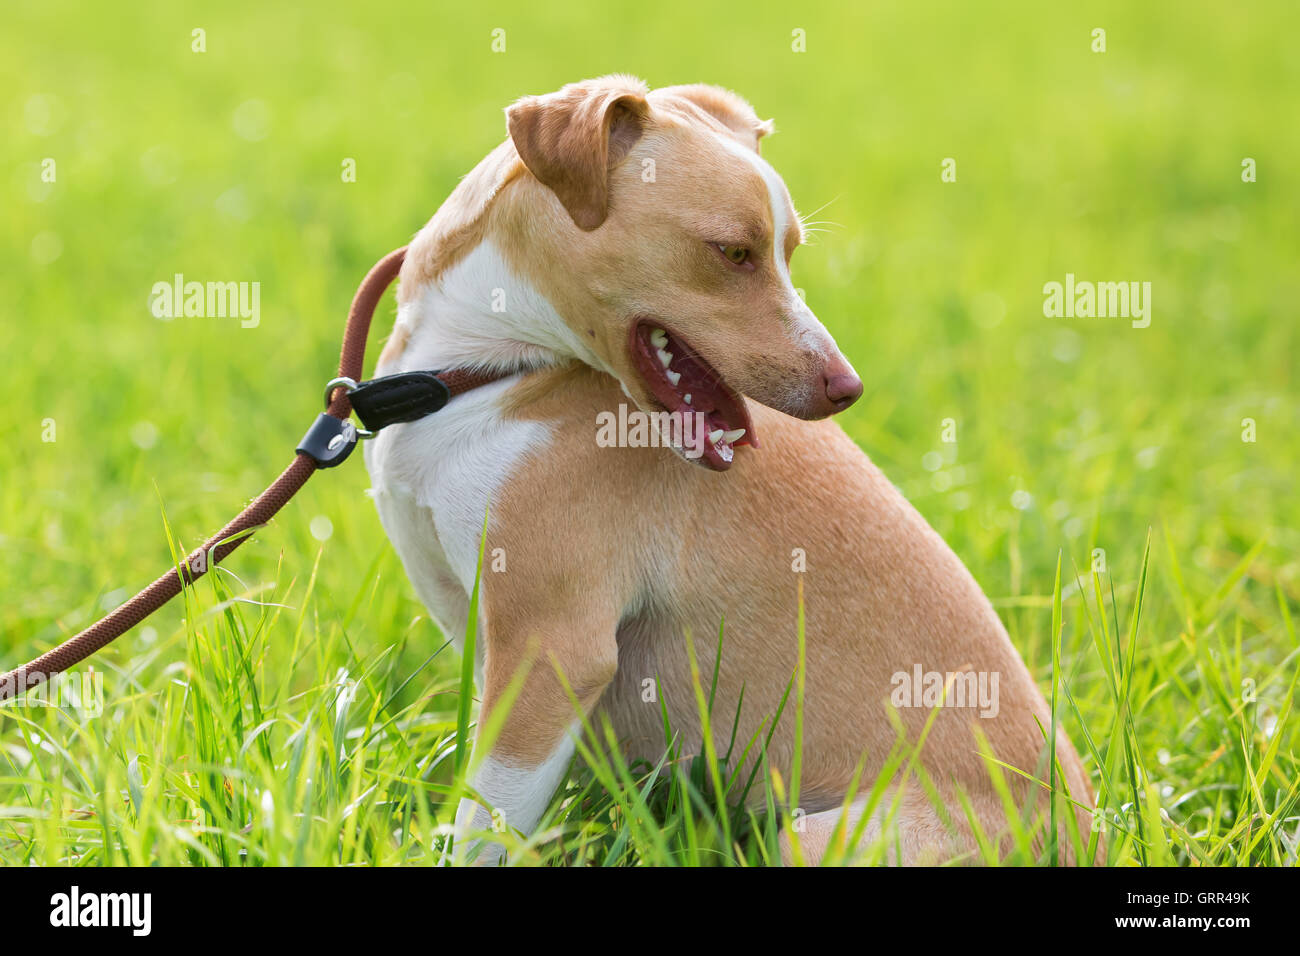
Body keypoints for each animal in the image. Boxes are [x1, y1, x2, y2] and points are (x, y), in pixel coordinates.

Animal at [366, 76, 1097, 868]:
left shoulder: (552, 648)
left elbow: (484, 824)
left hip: (818, 837)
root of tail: (1080, 837)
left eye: (788, 251)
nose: (848, 388)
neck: (483, 371)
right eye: (735, 252)